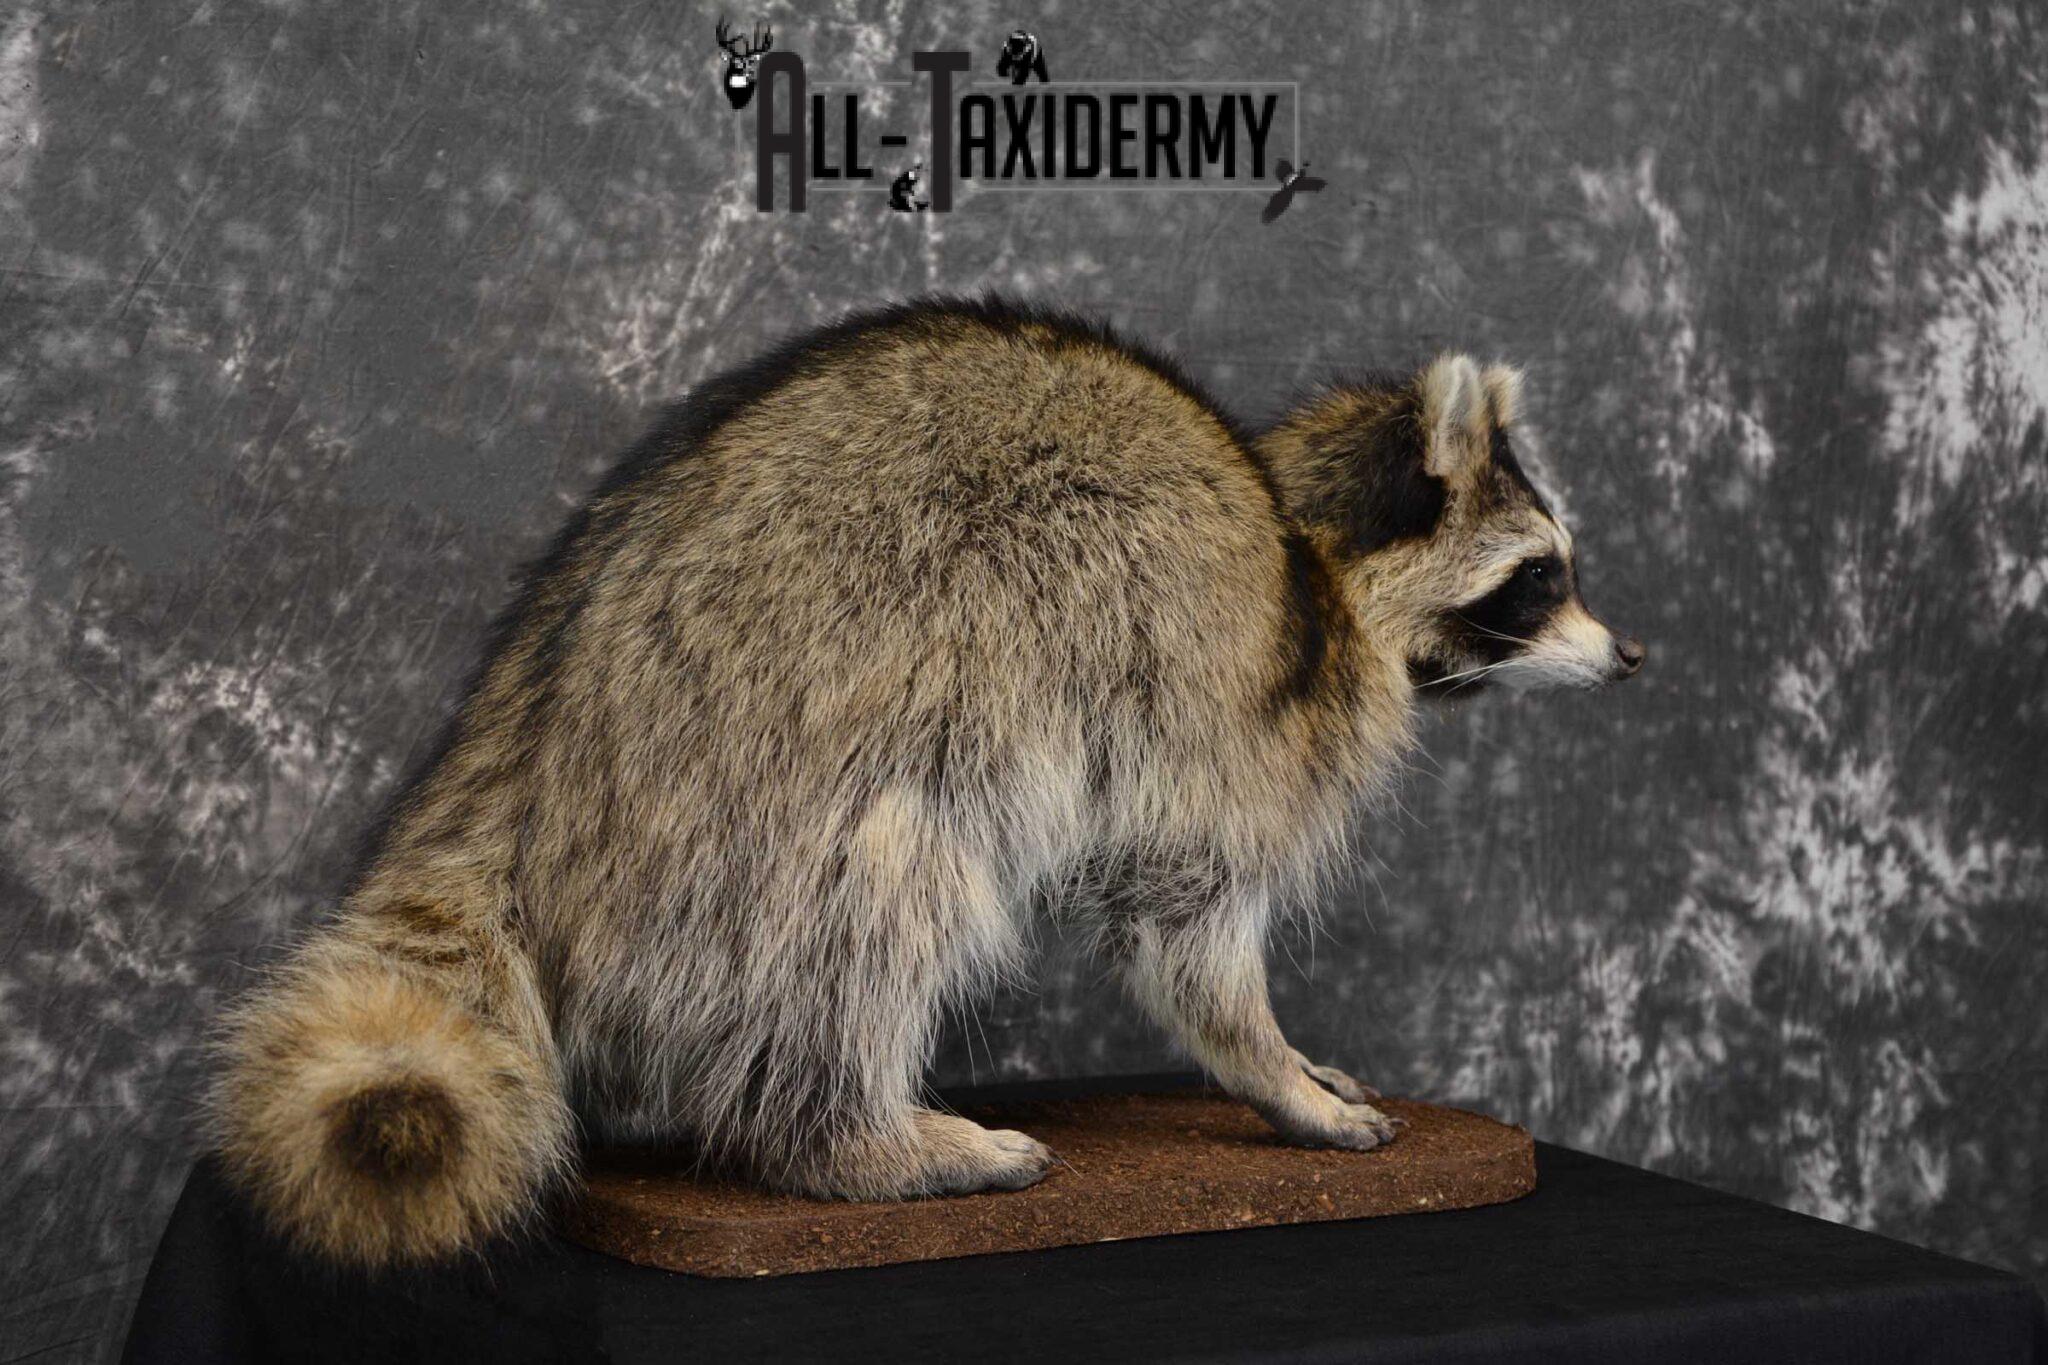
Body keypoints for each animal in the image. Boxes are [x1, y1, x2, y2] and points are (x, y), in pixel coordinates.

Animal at [208, 296, 1641, 1267]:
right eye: (1541, 577)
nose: (1630, 657)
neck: (1310, 550)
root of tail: (533, 742)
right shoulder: (1214, 688)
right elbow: (1182, 921)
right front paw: (1268, 1066)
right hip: (766, 773)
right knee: (880, 896)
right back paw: (851, 1135)